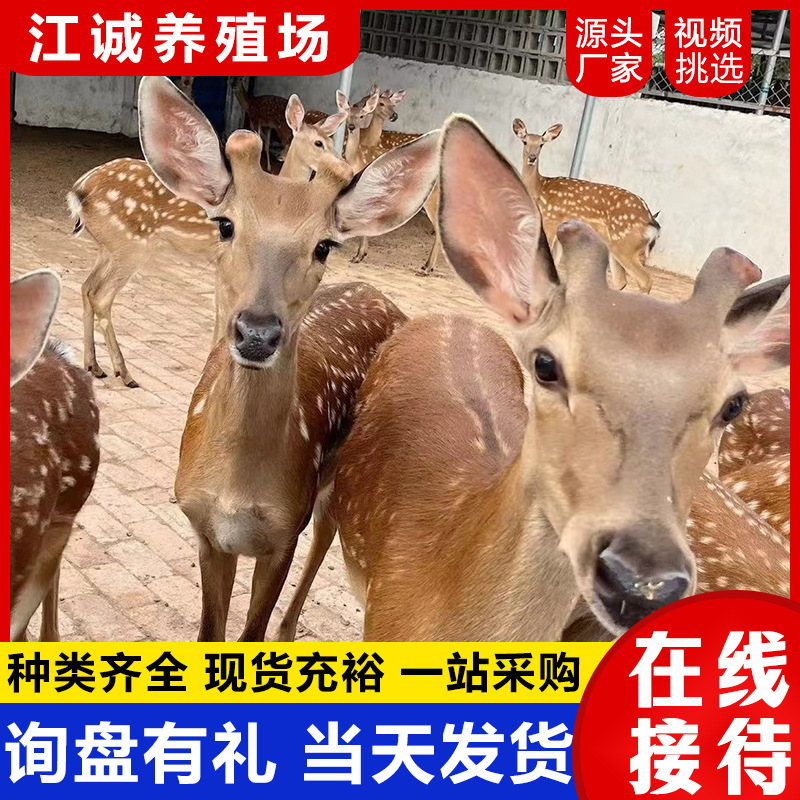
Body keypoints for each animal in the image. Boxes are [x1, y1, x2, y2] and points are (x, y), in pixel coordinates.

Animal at [70, 89, 348, 389]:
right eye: (319, 143)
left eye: (331, 140)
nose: (344, 166)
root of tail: (79, 191)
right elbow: (222, 312)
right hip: (129, 246)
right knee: (102, 297)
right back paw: (125, 373)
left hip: (109, 247)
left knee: (87, 288)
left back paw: (94, 365)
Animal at [136, 75, 439, 642]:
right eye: (225, 225)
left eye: (324, 245)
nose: (257, 333)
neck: (236, 491)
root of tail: (382, 297)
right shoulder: (205, 529)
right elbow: (211, 633)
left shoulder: (283, 531)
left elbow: (251, 632)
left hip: (339, 473)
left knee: (325, 537)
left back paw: (290, 626)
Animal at [513, 118, 660, 294]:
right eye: (525, 141)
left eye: (541, 144)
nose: (532, 157)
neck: (539, 188)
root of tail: (651, 221)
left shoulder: (551, 218)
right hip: (616, 245)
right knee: (621, 281)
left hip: (625, 244)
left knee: (645, 279)